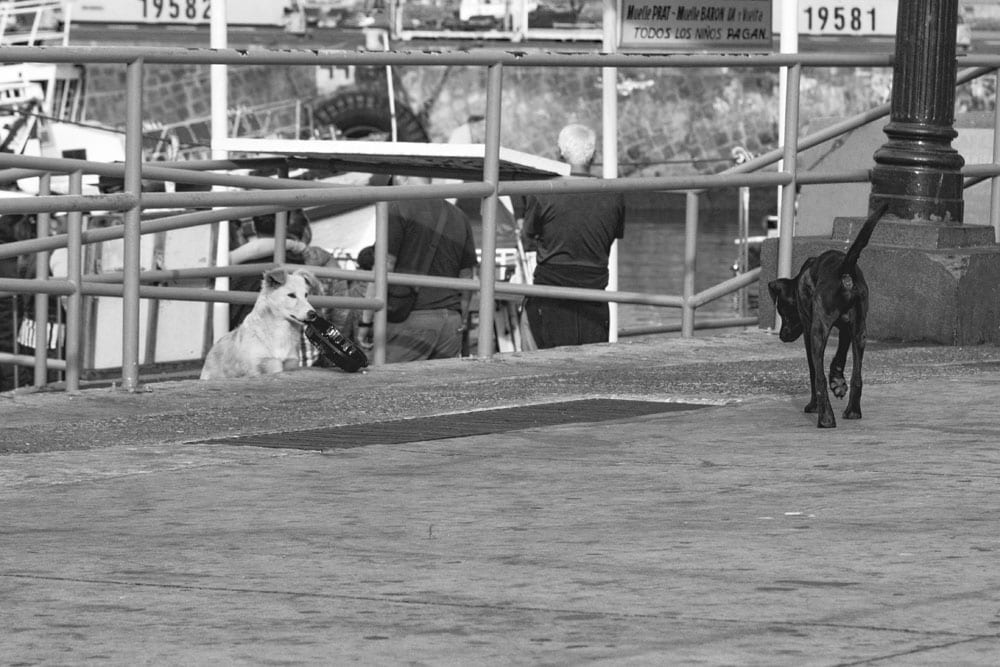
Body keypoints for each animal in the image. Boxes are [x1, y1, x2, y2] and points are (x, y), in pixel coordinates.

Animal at [768, 204, 888, 428]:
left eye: (784, 312)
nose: (781, 336)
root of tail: (844, 269)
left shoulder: (809, 329)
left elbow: (814, 370)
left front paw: (814, 404)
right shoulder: (847, 329)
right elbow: (839, 356)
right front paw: (838, 382)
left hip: (818, 331)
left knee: (819, 378)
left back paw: (825, 417)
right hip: (860, 330)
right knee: (857, 376)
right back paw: (852, 410)